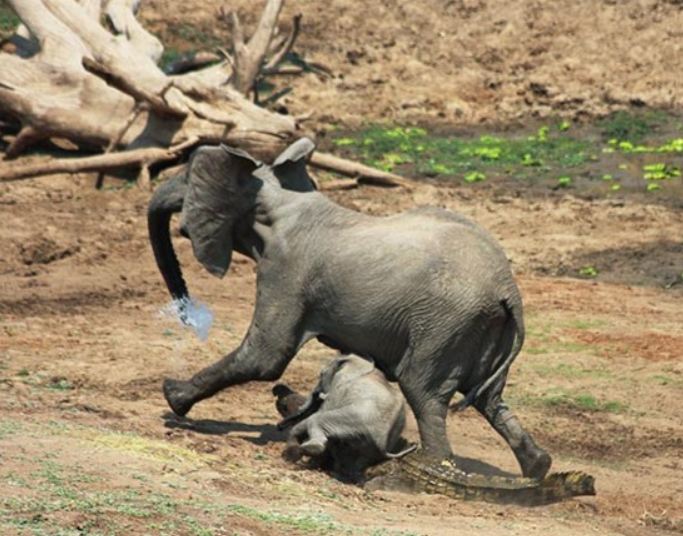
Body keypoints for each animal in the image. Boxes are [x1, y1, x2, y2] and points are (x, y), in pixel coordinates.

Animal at [274, 354, 414, 480]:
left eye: (321, 375)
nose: (279, 426)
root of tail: (382, 444)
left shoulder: (338, 387)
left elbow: (319, 413)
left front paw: (290, 456)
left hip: (355, 421)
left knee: (318, 420)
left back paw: (310, 451)